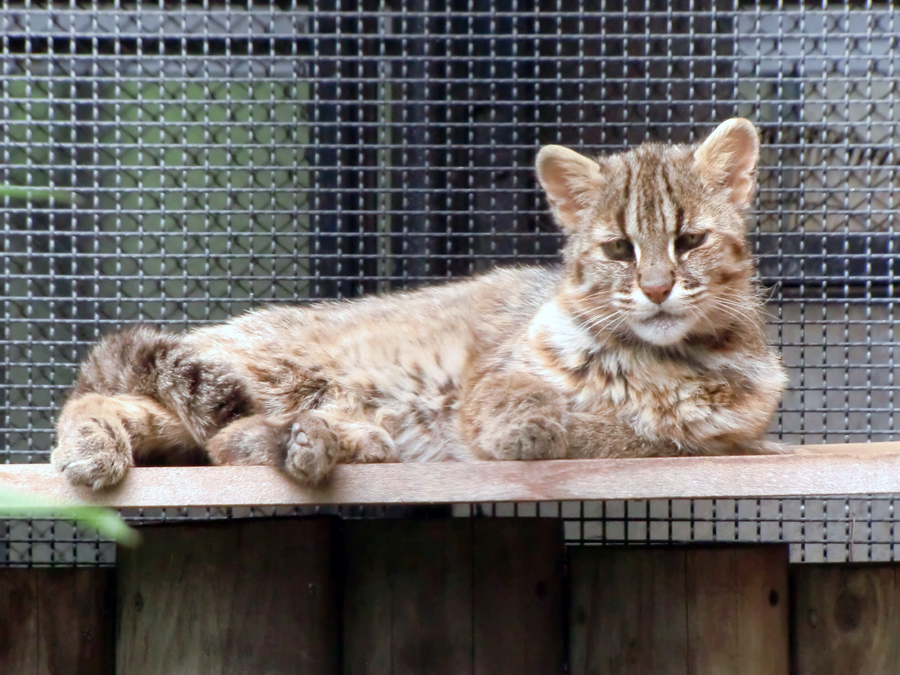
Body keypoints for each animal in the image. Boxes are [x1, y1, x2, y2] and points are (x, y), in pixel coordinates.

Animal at [51, 118, 787, 490]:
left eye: (690, 240)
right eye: (618, 249)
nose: (658, 288)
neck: (658, 355)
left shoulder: (721, 435)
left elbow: (635, 430)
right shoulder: (495, 375)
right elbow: (532, 409)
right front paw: (535, 421)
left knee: (206, 434)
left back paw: (328, 442)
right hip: (262, 372)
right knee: (98, 396)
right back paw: (94, 448)